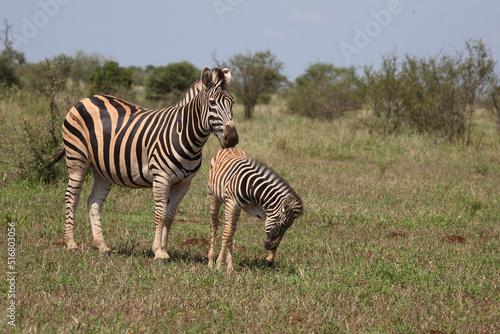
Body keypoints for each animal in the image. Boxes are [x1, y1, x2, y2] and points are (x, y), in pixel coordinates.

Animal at [49, 66, 237, 264]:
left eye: (232, 103)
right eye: (212, 103)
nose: (232, 138)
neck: (184, 134)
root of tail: (86, 99)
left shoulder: (184, 184)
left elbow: (169, 216)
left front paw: (164, 250)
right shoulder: (161, 178)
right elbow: (160, 214)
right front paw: (158, 253)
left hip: (102, 170)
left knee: (94, 202)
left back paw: (102, 246)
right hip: (77, 159)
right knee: (71, 197)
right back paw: (71, 244)